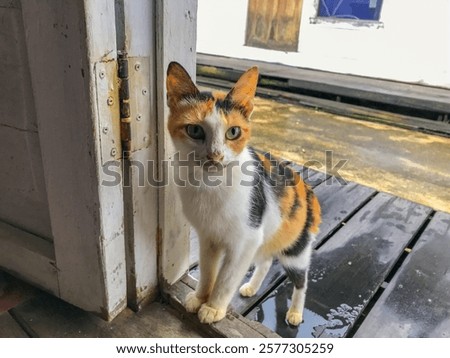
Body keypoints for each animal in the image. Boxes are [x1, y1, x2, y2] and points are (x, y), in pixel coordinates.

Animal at [165, 62, 320, 328]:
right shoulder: (208, 237)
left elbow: (226, 278)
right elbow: (208, 271)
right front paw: (200, 298)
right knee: (266, 261)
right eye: (194, 130)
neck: (210, 185)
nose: (215, 156)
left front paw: (213, 308)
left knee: (302, 280)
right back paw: (252, 287)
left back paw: (295, 313)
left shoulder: (245, 239)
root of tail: (309, 193)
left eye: (233, 132)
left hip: (294, 249)